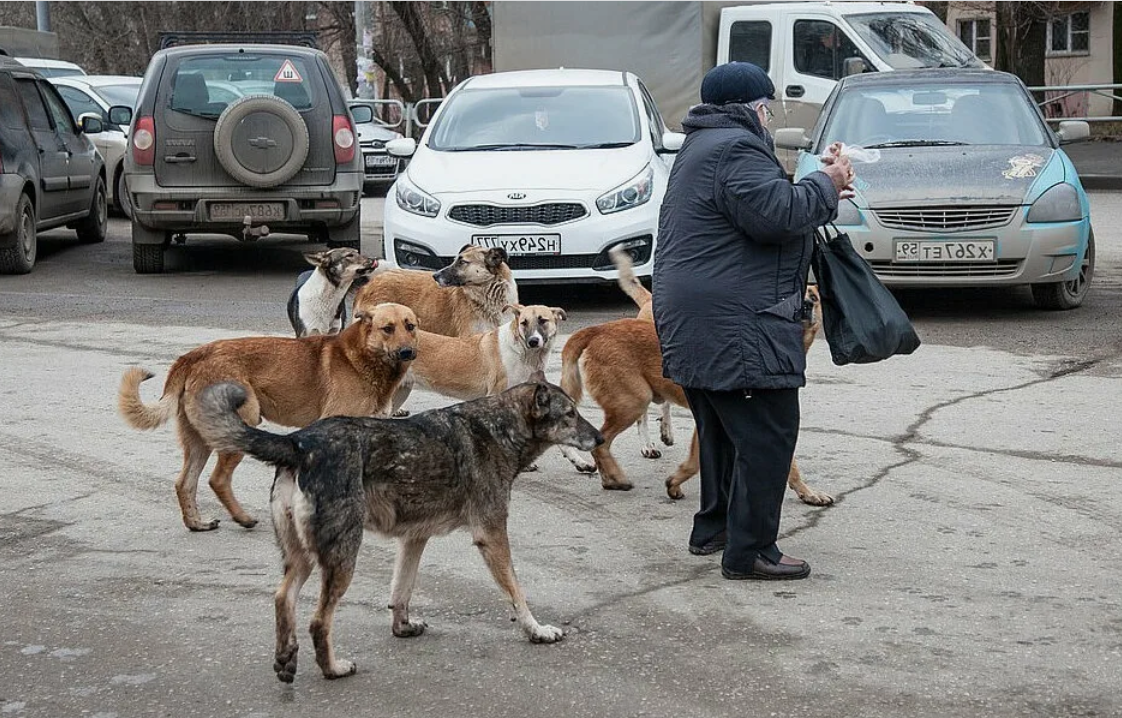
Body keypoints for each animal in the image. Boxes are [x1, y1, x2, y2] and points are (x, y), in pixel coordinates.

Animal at [117, 302, 421, 534]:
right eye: (387, 328)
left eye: (411, 326)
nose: (408, 352)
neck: (363, 358)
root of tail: (192, 356)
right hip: (242, 424)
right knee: (217, 479)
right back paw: (242, 518)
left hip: (199, 439)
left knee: (185, 483)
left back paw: (196, 523)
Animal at [188, 376, 605, 682]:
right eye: (570, 415)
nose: (600, 438)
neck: (497, 428)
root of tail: (299, 440)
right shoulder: (492, 535)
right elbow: (517, 593)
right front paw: (536, 630)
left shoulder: (413, 539)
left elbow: (401, 590)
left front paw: (401, 627)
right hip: (342, 558)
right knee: (319, 621)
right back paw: (332, 668)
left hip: (304, 558)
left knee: (282, 598)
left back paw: (286, 659)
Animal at [556, 286, 830, 504]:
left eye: (814, 297)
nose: (806, 306)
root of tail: (598, 329)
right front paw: (675, 483)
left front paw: (807, 493)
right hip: (633, 403)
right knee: (602, 444)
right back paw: (617, 478)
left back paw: (609, 480)